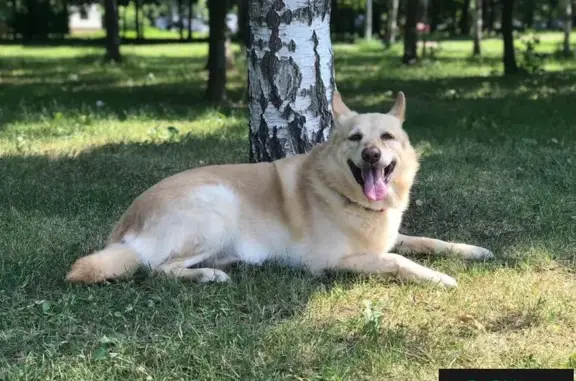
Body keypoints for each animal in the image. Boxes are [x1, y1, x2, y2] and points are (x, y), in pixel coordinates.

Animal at [65, 93, 492, 288]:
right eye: (355, 138)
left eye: (387, 137)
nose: (372, 155)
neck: (343, 195)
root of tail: (125, 226)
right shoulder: (332, 261)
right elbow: (397, 261)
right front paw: (440, 278)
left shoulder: (389, 237)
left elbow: (427, 241)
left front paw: (473, 251)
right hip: (216, 207)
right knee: (157, 268)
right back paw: (208, 275)